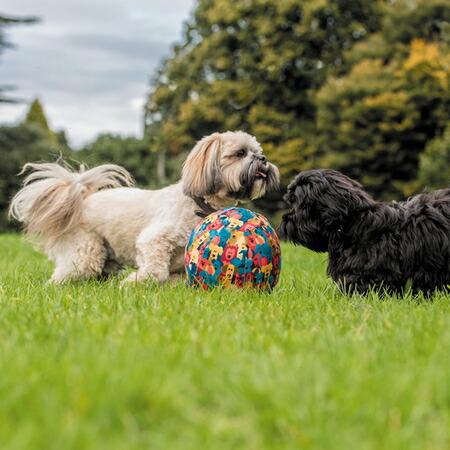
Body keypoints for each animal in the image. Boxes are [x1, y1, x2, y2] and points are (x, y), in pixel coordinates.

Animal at [8, 132, 280, 284]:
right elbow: (155, 270)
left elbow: (174, 279)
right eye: (240, 153)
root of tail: (81, 199)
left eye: (257, 152)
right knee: (67, 274)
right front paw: (134, 282)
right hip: (85, 252)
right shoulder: (154, 240)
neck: (198, 205)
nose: (263, 159)